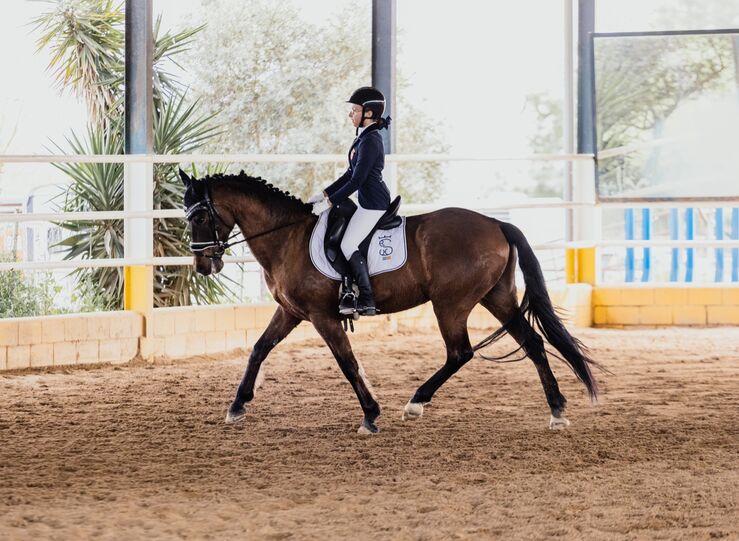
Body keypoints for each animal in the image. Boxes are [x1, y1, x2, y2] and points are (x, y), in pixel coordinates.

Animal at [181, 170, 600, 434]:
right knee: (533, 343)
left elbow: (347, 363)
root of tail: (497, 223)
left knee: (460, 352)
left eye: (199, 216)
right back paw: (557, 411)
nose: (203, 265)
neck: (288, 238)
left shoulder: (321, 315)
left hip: (451, 303)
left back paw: (415, 402)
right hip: (496, 297)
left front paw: (370, 415)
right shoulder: (291, 312)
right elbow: (258, 349)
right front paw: (237, 405)